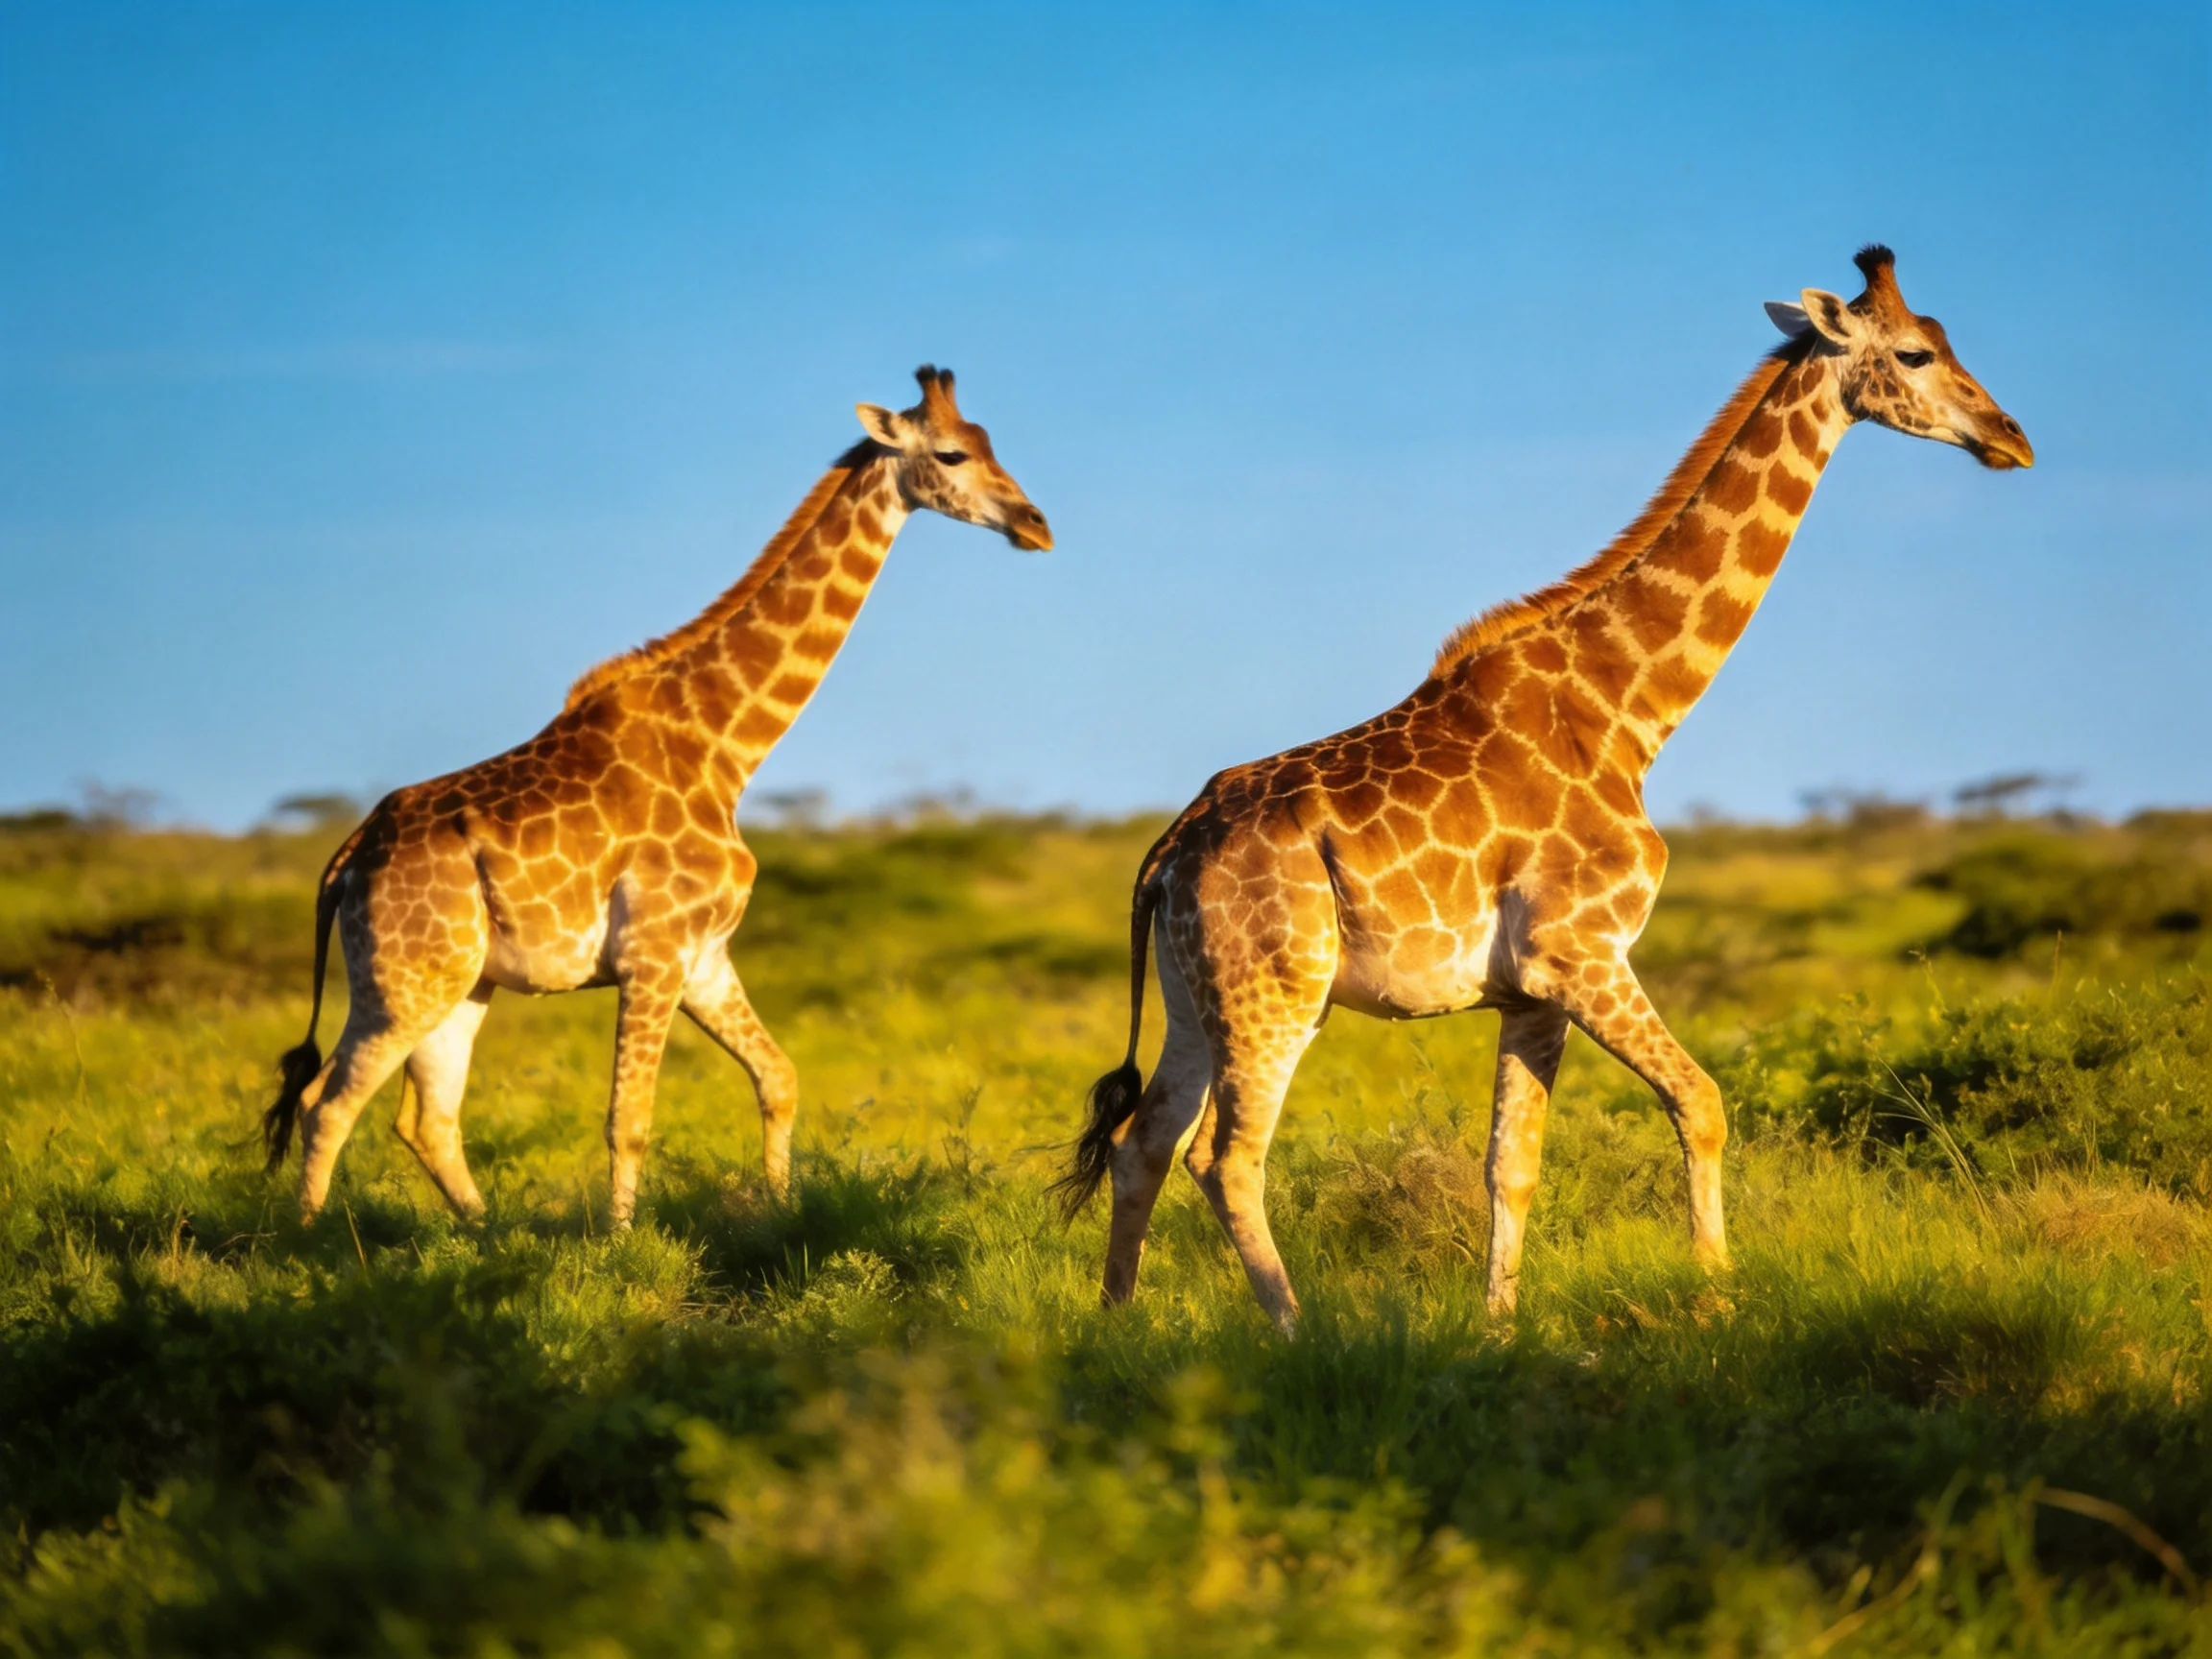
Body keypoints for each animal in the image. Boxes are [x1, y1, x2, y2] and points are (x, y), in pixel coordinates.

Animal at [263, 367, 1050, 1228]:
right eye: (950, 453)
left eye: (989, 443)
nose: (1036, 526)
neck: (725, 746)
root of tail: (347, 858)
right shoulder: (653, 951)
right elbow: (628, 1117)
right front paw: (619, 1244)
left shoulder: (704, 956)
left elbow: (779, 1078)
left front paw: (780, 1213)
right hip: (402, 983)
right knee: (327, 1102)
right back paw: (307, 1243)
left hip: (460, 983)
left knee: (424, 1116)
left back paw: (486, 1234)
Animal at [1057, 248, 2031, 1331]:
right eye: (1915, 353)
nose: (2012, 439)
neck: (1627, 709)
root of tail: (1168, 851)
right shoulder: (1583, 951)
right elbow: (1702, 1103)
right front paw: (1716, 1297)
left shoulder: (1528, 991)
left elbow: (1510, 1165)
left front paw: (1500, 1327)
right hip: (1278, 990)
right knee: (1224, 1159)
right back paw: (1295, 1332)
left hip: (1201, 995)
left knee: (1143, 1145)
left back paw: (1119, 1326)